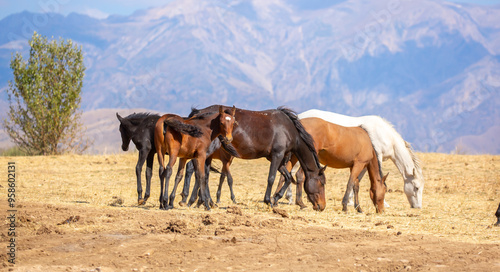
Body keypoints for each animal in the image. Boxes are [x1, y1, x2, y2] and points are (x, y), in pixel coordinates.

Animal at [184, 105, 328, 211]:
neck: (288, 130)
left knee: (204, 174)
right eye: (321, 183)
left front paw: (276, 198)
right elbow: (271, 178)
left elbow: (288, 178)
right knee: (196, 170)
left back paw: (205, 202)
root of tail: (198, 112)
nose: (321, 206)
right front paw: (269, 201)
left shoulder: (277, 159)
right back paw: (193, 200)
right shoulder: (277, 155)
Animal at [296, 108, 426, 208]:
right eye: (416, 187)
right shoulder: (376, 157)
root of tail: (299, 117)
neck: (385, 135)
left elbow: (357, 179)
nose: (418, 207)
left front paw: (350, 202)